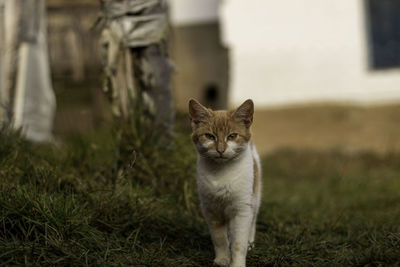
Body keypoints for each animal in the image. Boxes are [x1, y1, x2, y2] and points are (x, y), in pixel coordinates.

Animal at [190, 99, 262, 267]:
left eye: (232, 136)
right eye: (209, 136)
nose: (220, 150)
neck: (222, 173)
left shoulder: (242, 210)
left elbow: (238, 244)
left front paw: (237, 264)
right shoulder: (211, 211)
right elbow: (220, 239)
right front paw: (222, 259)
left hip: (255, 198)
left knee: (252, 221)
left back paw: (250, 243)